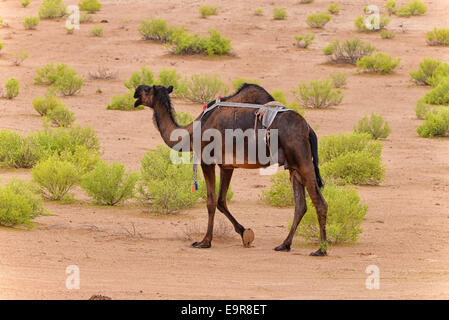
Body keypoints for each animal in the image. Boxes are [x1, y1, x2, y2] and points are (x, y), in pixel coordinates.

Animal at [131, 84, 328, 256]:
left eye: (147, 89)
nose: (135, 91)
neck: (193, 130)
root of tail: (308, 128)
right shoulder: (226, 165)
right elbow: (221, 201)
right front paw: (245, 233)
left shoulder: (206, 160)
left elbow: (211, 201)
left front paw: (204, 241)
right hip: (293, 166)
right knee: (300, 205)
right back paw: (284, 245)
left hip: (302, 159)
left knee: (319, 202)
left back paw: (321, 250)